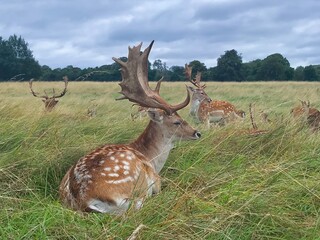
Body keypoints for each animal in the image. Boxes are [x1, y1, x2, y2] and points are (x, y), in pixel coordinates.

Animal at [58, 40, 201, 215]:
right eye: (177, 122)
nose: (197, 133)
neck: (151, 158)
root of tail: (83, 200)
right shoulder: (156, 180)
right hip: (135, 188)